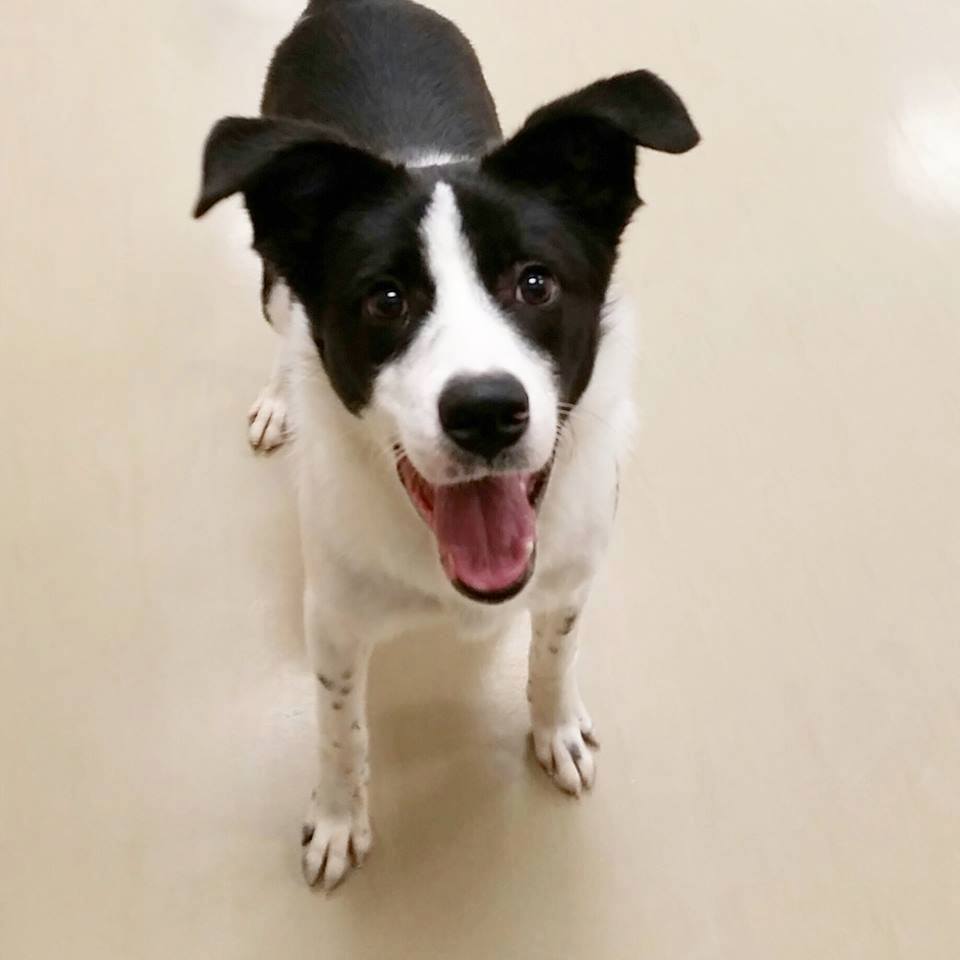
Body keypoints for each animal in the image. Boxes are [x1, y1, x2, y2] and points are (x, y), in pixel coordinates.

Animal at [193, 0, 696, 892]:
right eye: (385, 299)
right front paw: (338, 816)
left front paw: (555, 730)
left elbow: (553, 658)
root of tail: (349, 5)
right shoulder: (333, 619)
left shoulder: (571, 577)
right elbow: (338, 725)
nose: (487, 411)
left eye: (535, 283)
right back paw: (278, 399)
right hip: (271, 272)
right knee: (281, 320)